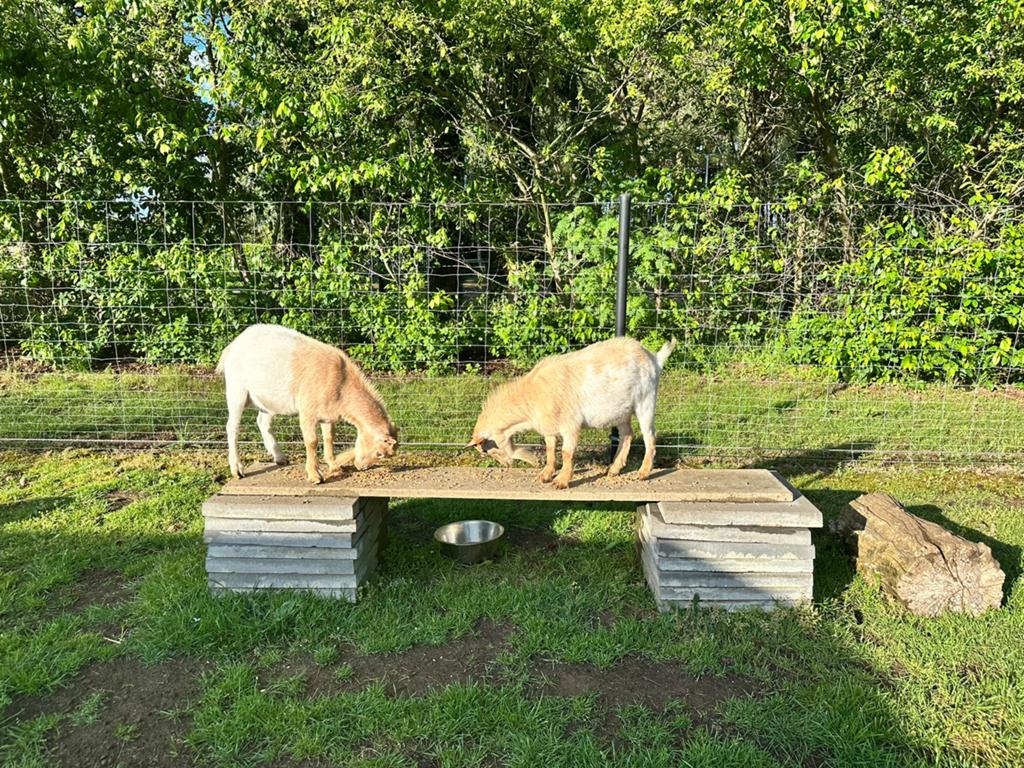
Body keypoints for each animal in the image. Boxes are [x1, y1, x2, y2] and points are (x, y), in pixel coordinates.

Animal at [217, 324, 398, 484]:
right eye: (380, 453)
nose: (361, 467)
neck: (341, 383)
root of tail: (233, 345)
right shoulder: (307, 412)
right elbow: (312, 441)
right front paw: (315, 476)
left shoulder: (328, 415)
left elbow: (329, 438)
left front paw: (334, 466)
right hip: (236, 390)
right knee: (232, 427)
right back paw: (237, 469)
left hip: (267, 400)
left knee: (262, 422)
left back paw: (280, 457)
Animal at [467, 336, 676, 489]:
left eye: (486, 449)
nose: (506, 465)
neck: (532, 397)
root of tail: (654, 358)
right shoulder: (550, 429)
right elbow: (551, 450)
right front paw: (545, 475)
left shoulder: (571, 424)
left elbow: (567, 452)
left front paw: (561, 481)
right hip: (621, 411)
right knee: (627, 434)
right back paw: (614, 469)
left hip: (646, 400)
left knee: (650, 435)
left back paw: (643, 473)